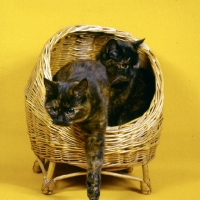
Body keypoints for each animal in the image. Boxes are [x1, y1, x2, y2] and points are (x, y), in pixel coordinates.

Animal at [44, 60, 109, 200]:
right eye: (54, 109)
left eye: (70, 110)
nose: (60, 120)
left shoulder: (97, 134)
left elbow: (95, 162)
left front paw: (93, 191)